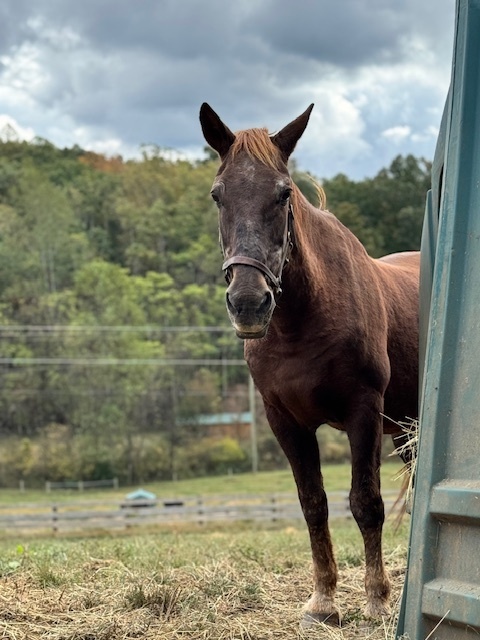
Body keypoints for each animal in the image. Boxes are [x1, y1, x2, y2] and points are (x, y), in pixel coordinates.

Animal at [199, 103, 419, 626]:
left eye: (283, 193)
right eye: (218, 195)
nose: (248, 303)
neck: (303, 321)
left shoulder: (363, 411)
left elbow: (366, 503)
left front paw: (377, 599)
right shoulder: (285, 421)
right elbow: (313, 504)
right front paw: (323, 601)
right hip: (404, 429)